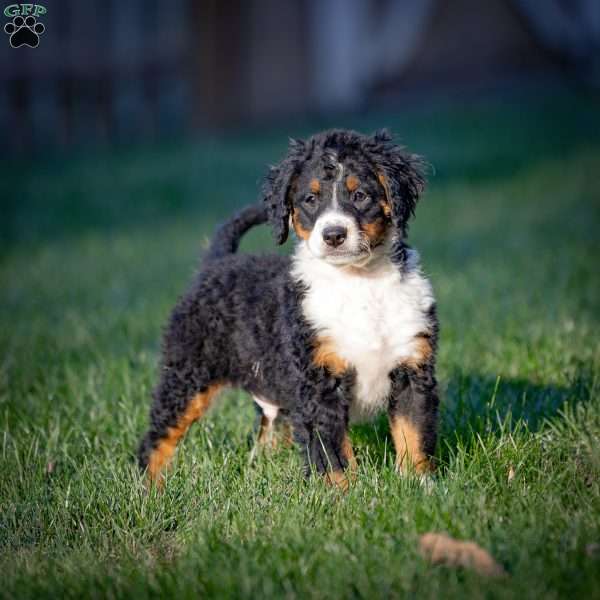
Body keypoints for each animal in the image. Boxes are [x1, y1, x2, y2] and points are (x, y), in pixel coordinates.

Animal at [138, 130, 438, 488]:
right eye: (310, 199)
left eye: (360, 195)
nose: (333, 234)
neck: (359, 284)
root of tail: (218, 262)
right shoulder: (318, 381)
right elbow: (332, 453)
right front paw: (342, 494)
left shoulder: (411, 368)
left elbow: (413, 437)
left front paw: (420, 487)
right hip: (188, 373)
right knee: (158, 436)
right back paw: (148, 488)